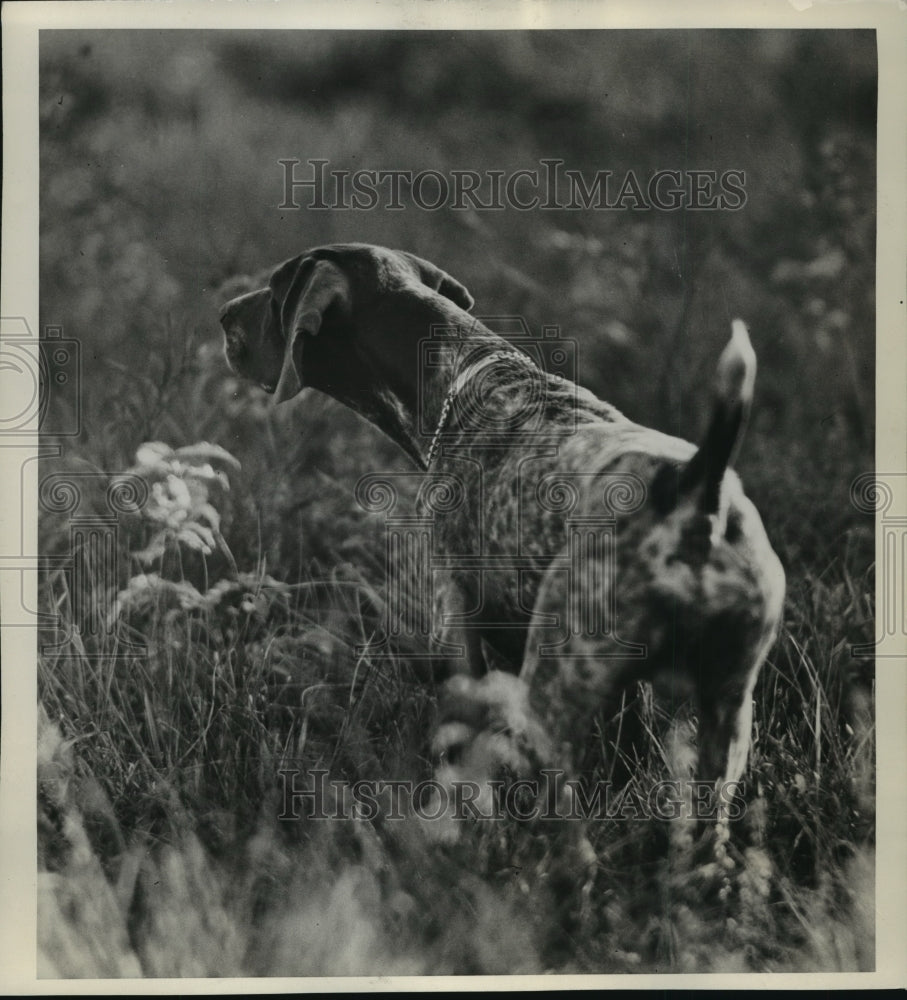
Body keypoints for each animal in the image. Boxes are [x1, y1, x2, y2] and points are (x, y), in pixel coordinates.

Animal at [222, 246, 788, 880]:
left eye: (275, 291)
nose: (222, 314)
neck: (464, 369)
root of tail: (697, 492)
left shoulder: (456, 622)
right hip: (729, 709)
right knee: (709, 836)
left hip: (556, 686)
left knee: (570, 839)